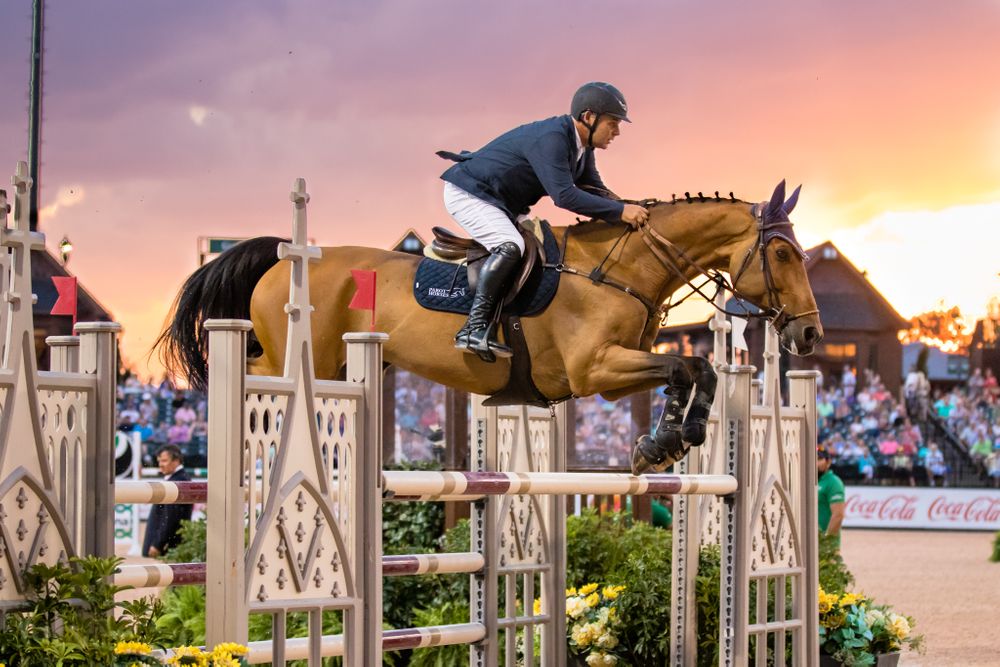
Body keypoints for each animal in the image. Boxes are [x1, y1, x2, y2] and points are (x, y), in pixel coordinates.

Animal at [157, 180, 823, 473]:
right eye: (782, 253)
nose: (811, 336)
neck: (620, 268)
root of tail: (286, 255)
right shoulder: (595, 370)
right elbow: (685, 364)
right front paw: (660, 442)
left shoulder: (611, 378)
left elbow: (697, 365)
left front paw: (676, 438)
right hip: (303, 360)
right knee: (255, 378)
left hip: (336, 363)